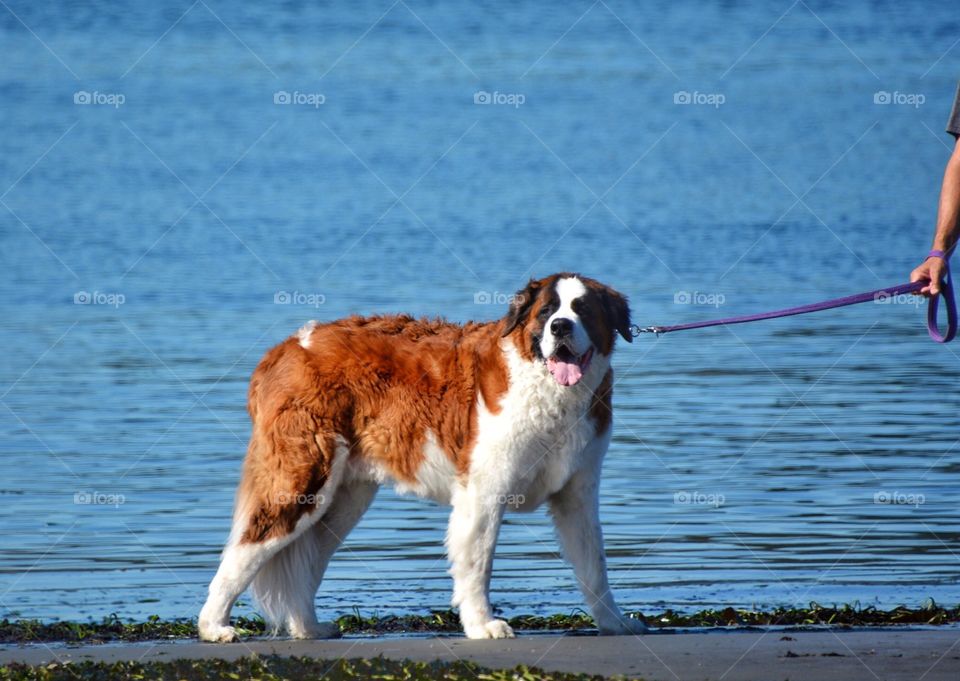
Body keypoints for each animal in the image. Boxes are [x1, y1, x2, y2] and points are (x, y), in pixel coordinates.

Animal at [197, 270, 644, 636]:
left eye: (582, 310)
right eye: (548, 311)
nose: (561, 326)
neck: (547, 388)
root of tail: (286, 347)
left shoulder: (577, 496)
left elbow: (594, 565)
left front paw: (614, 622)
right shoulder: (484, 493)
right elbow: (477, 564)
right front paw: (483, 625)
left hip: (342, 500)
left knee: (306, 560)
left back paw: (308, 627)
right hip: (303, 479)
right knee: (247, 547)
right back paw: (214, 626)